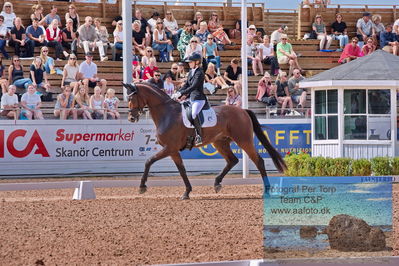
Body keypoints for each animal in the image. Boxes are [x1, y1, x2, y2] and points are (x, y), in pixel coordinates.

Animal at [123, 83, 286, 200]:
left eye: (131, 98)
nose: (131, 118)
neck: (167, 114)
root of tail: (243, 110)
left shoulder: (169, 148)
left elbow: (148, 161)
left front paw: (142, 187)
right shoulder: (173, 151)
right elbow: (182, 170)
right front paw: (187, 192)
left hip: (243, 140)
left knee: (258, 161)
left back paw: (266, 192)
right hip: (220, 142)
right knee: (232, 160)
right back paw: (217, 183)